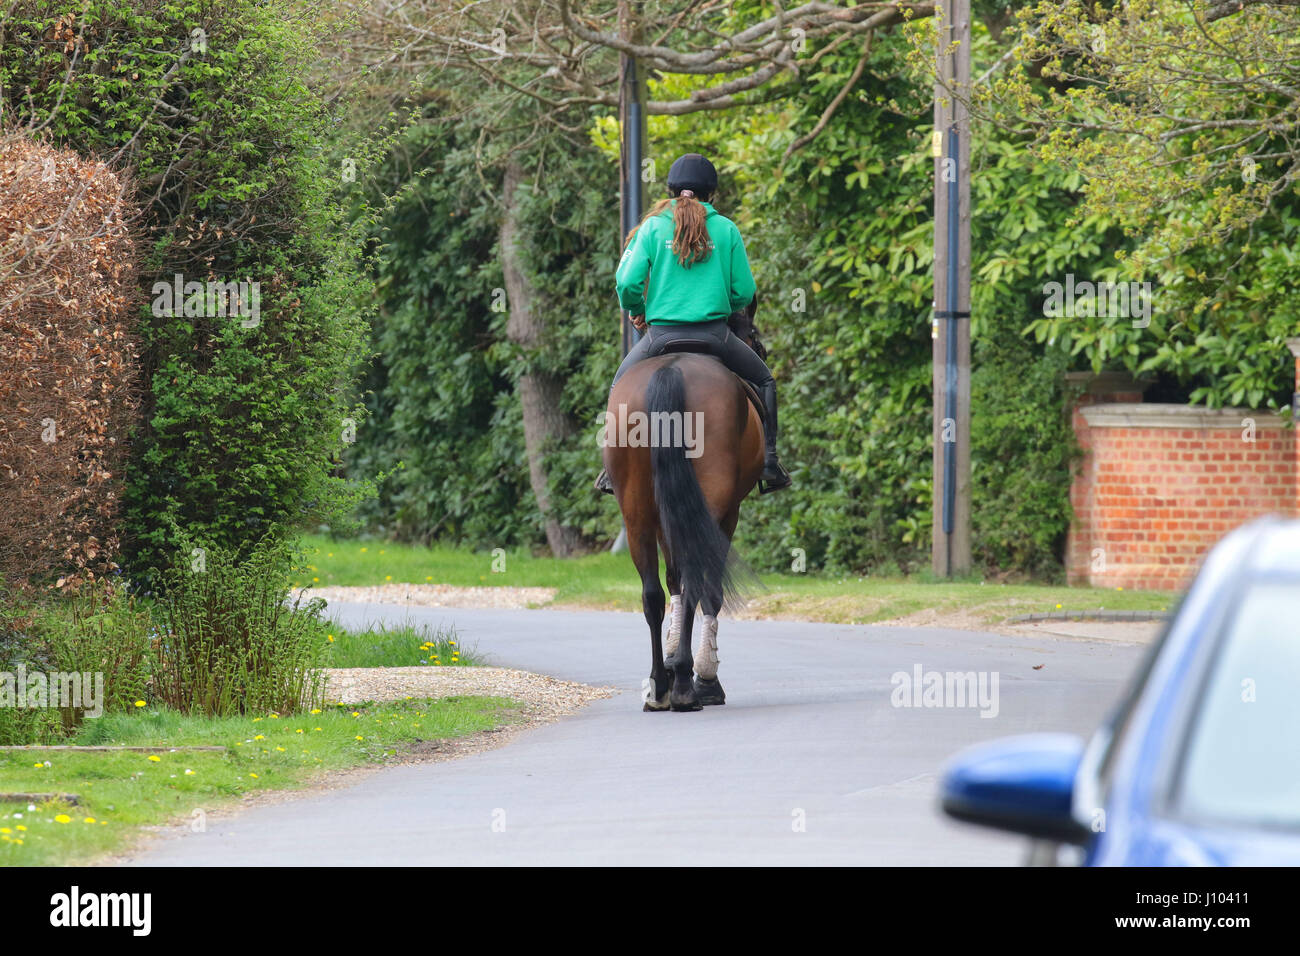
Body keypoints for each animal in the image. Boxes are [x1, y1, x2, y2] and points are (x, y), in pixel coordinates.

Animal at [602, 301, 766, 711]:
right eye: (753, 335)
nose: (762, 349)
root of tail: (671, 370)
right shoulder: (727, 515)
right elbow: (710, 591)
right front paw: (705, 677)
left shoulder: (668, 515)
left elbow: (672, 581)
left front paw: (676, 658)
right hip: (709, 503)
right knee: (695, 584)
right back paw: (685, 689)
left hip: (637, 513)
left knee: (652, 594)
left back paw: (660, 687)